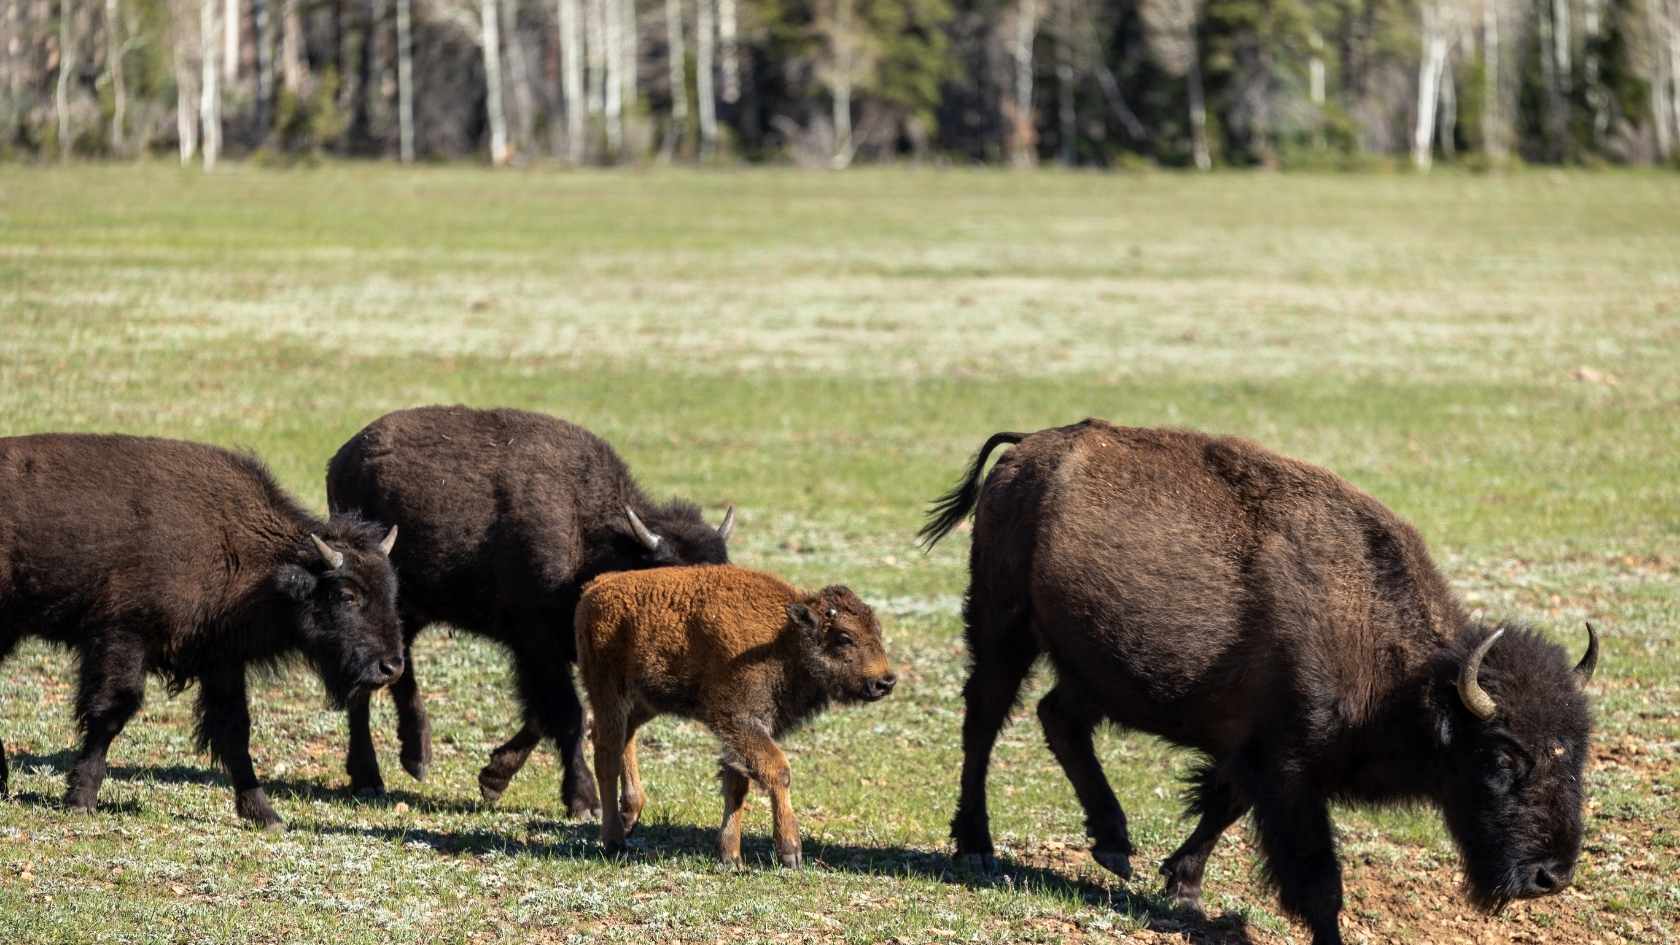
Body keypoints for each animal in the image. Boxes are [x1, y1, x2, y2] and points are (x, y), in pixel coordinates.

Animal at [0, 433, 404, 828]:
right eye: (347, 594)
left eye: (392, 591)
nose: (391, 667)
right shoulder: (123, 638)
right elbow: (110, 713)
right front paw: (80, 800)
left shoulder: (221, 662)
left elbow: (235, 731)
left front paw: (265, 815)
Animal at [326, 405, 734, 813]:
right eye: (668, 580)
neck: (588, 536)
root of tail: (342, 458)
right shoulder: (536, 644)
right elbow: (568, 715)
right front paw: (584, 800)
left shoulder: (546, 653)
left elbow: (542, 714)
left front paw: (493, 777)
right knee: (370, 686)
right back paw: (377, 775)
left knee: (396, 668)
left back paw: (411, 759)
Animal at [575, 564, 896, 867]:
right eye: (844, 637)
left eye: (878, 631)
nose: (885, 681)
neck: (783, 638)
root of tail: (596, 586)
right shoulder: (741, 721)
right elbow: (778, 771)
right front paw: (790, 852)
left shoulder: (741, 733)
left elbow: (736, 785)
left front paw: (730, 856)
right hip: (609, 693)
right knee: (606, 756)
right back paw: (614, 840)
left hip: (645, 701)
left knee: (624, 740)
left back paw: (629, 815)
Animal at [918, 420, 1598, 945]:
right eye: (1500, 758)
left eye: (1577, 755)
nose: (1552, 876)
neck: (1407, 676)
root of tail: (1026, 447)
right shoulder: (1290, 771)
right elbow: (1317, 880)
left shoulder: (1251, 750)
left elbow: (1222, 803)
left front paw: (1183, 887)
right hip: (1003, 628)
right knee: (984, 720)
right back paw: (978, 846)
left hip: (1090, 666)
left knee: (1058, 718)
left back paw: (1114, 845)